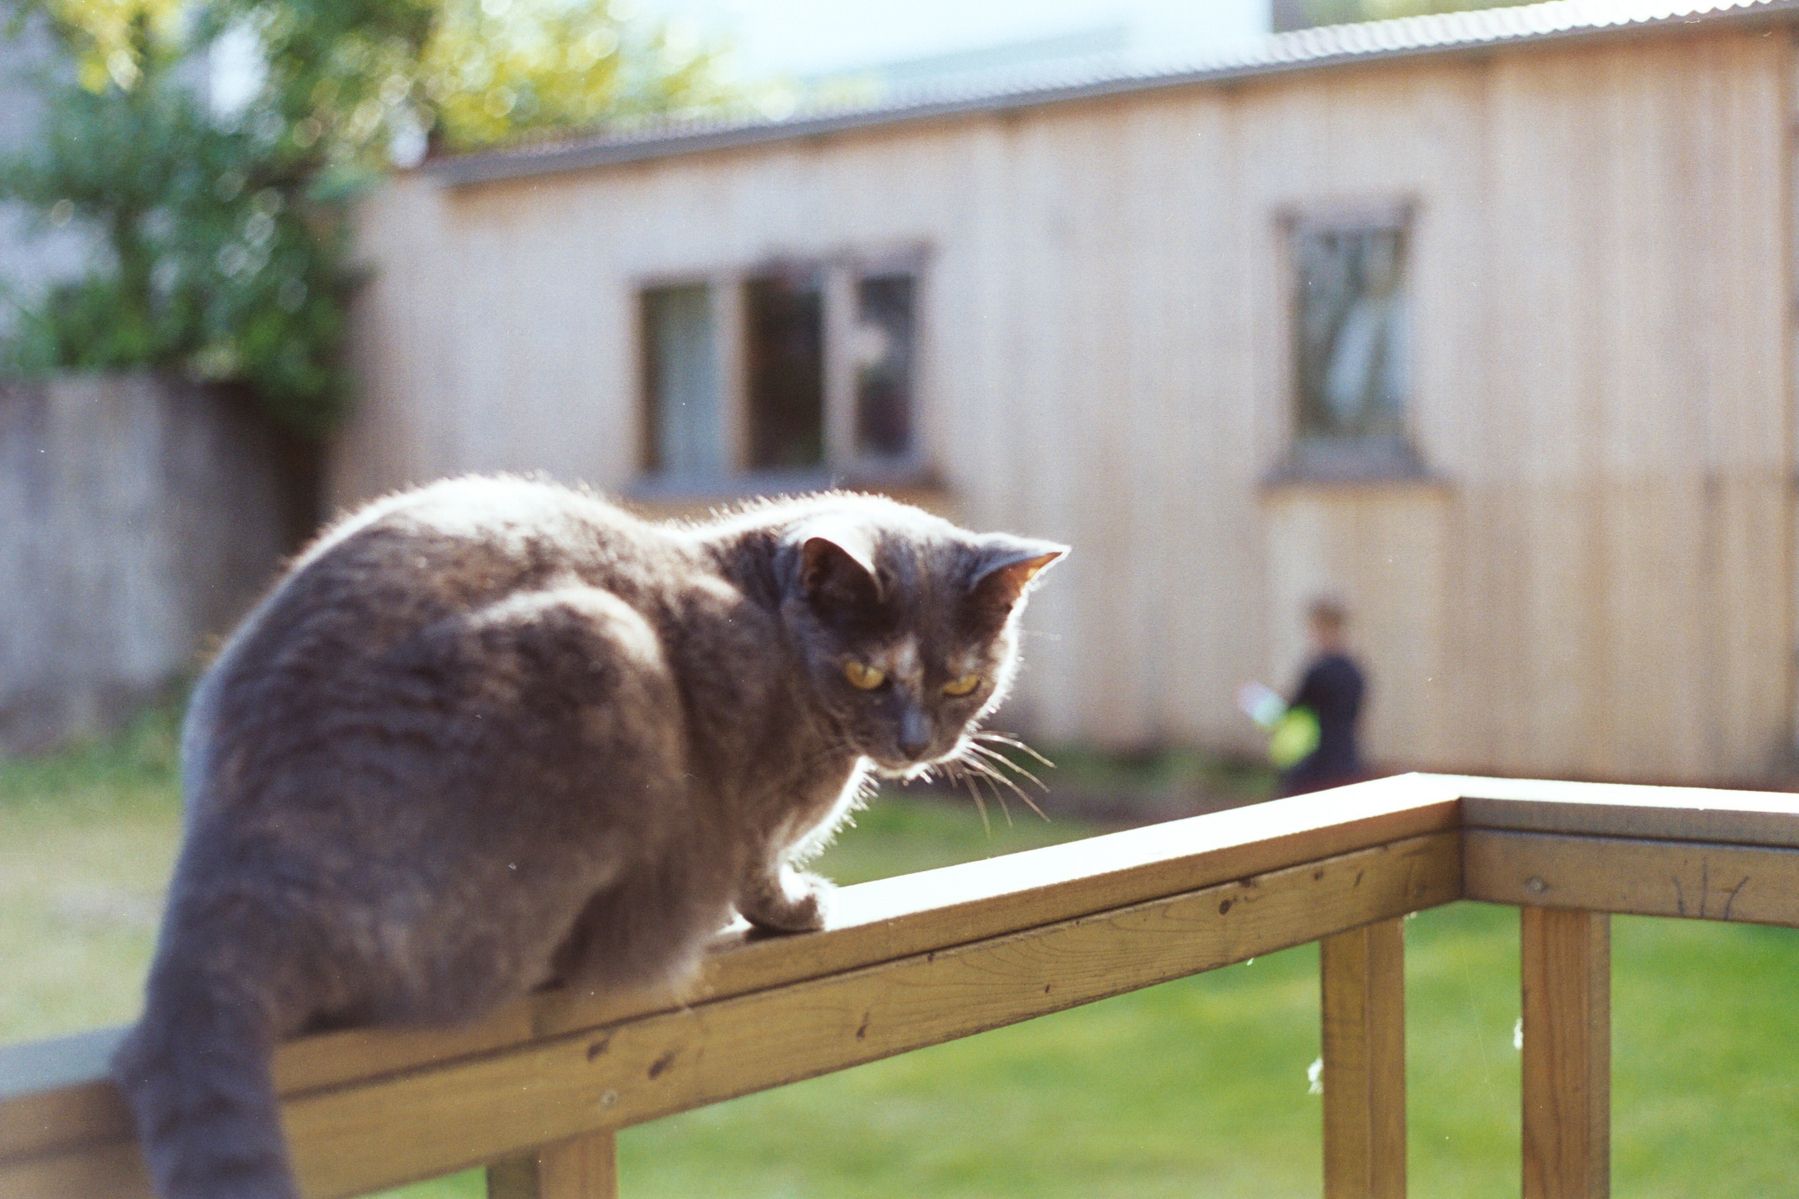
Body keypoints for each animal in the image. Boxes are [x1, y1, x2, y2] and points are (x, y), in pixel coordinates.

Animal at [112, 475, 1065, 1195]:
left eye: (962, 681)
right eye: (867, 670)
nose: (916, 741)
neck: (769, 615)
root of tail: (231, 872)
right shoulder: (750, 814)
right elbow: (757, 870)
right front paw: (800, 907)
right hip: (597, 651)